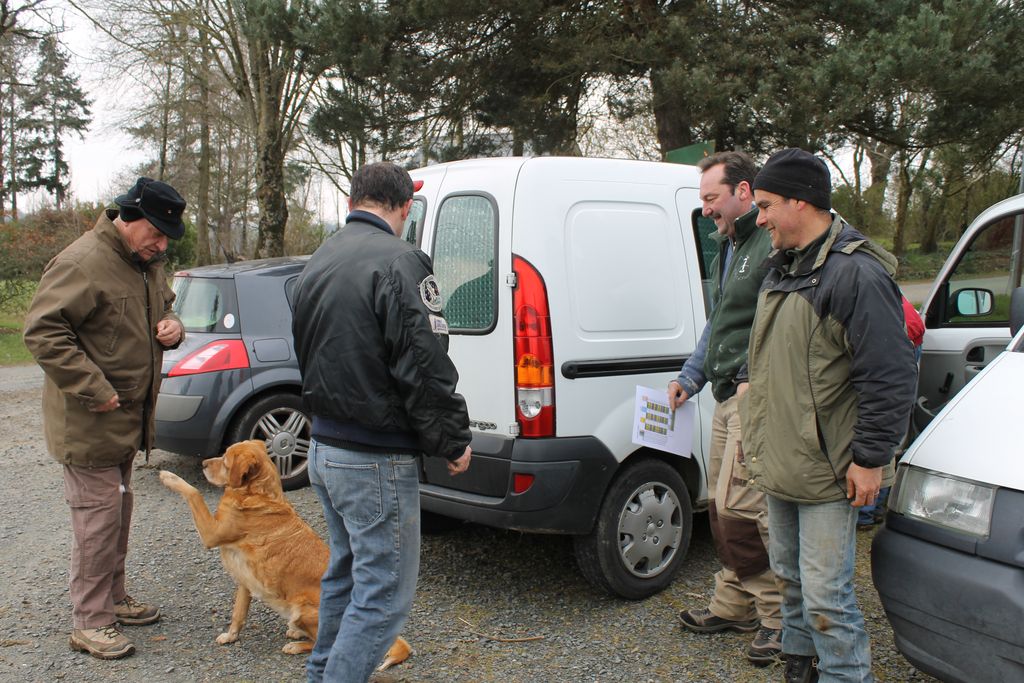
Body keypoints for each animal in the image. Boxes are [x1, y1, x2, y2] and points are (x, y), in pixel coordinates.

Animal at [159, 439, 411, 667]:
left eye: (225, 461)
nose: (203, 463)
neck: (258, 494)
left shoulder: (210, 533)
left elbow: (194, 493)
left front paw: (169, 478)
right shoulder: (244, 582)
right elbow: (238, 614)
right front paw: (231, 636)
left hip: (301, 609)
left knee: (322, 644)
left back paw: (296, 644)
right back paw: (296, 633)